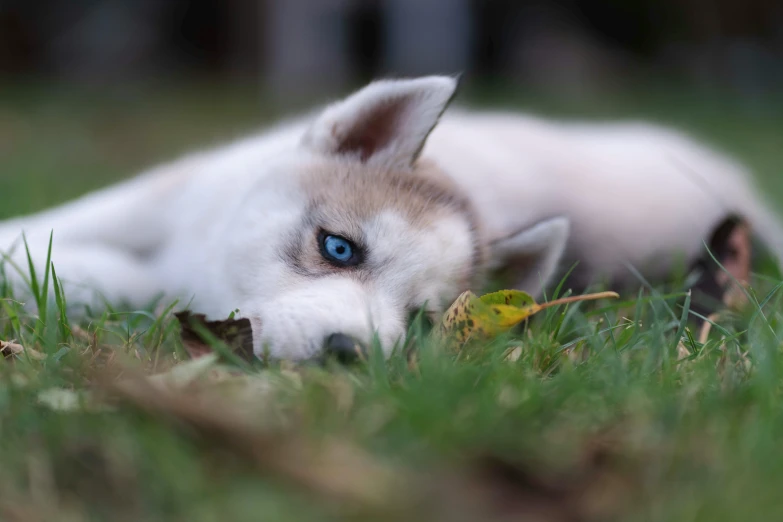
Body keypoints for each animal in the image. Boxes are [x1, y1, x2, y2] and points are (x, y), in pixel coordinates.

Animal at [1, 77, 783, 360]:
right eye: (340, 248)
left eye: (422, 320)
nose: (351, 353)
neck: (198, 255)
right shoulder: (173, 191)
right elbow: (67, 218)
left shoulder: (162, 282)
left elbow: (103, 275)